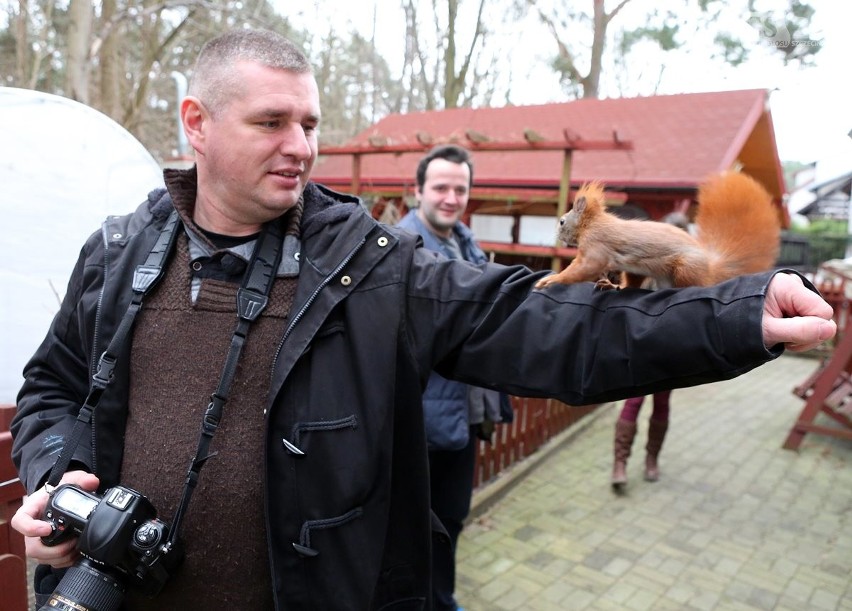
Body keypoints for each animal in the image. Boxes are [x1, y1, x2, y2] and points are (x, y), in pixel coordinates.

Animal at [536, 172, 784, 292]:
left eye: (561, 221)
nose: (557, 235)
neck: (592, 224)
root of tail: (710, 268)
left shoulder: (596, 245)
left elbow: (585, 268)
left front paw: (552, 280)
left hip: (686, 268)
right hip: (639, 271)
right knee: (632, 284)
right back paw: (614, 286)